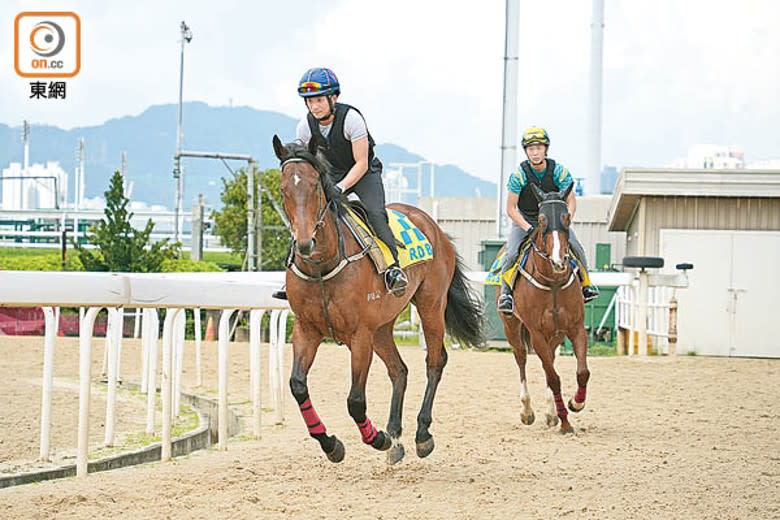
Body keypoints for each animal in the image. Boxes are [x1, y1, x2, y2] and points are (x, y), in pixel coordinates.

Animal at [272, 134, 484, 464]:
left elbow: (355, 400)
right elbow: (297, 387)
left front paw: (377, 439)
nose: (306, 243)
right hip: (383, 326)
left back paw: (421, 434)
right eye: (284, 189)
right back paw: (395, 435)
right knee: (399, 370)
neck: (322, 267)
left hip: (430, 305)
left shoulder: (360, 335)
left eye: (315, 186)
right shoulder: (306, 330)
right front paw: (330, 444)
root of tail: (433, 226)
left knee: (435, 361)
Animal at [500, 183, 592, 434]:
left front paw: (575, 404)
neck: (553, 282)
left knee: (549, 360)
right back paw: (527, 411)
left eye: (566, 217)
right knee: (521, 359)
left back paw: (551, 413)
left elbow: (582, 372)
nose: (559, 260)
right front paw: (566, 422)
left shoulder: (575, 327)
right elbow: (553, 378)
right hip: (512, 327)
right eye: (541, 220)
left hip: (556, 335)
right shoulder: (536, 333)